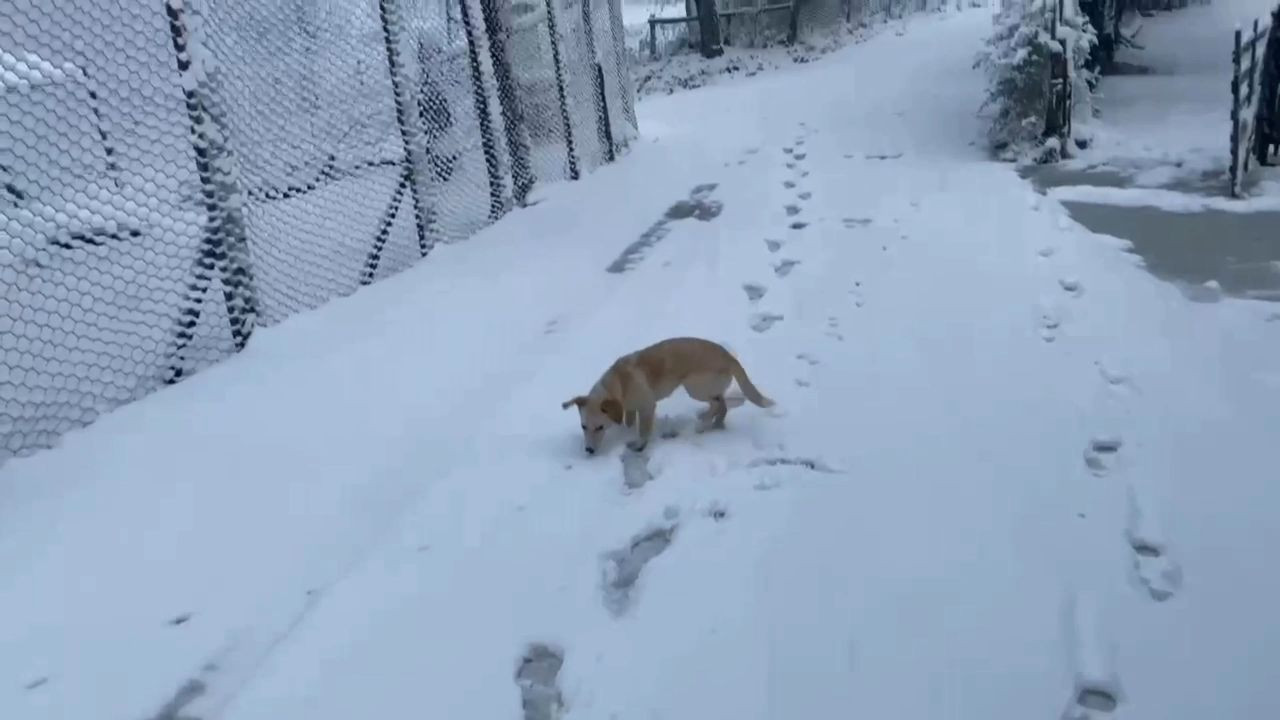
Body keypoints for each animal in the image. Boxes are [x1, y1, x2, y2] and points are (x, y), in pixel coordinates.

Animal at [565, 335, 773, 453]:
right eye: (583, 427)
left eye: (600, 428)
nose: (589, 451)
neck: (620, 382)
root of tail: (730, 357)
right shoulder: (629, 408)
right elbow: (629, 421)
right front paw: (626, 431)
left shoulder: (647, 406)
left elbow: (643, 430)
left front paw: (639, 445)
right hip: (707, 389)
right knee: (722, 405)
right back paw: (714, 424)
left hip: (694, 387)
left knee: (717, 404)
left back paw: (702, 423)